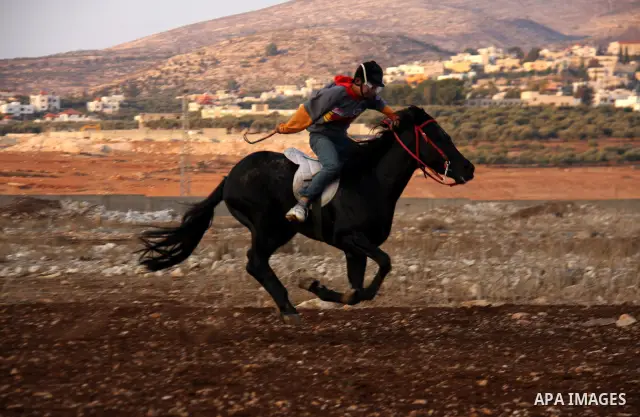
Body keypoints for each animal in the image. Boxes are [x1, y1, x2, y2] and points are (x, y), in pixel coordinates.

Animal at [136, 105, 475, 323]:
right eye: (440, 136)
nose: (469, 169)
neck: (371, 180)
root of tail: (229, 177)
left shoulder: (355, 249)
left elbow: (358, 290)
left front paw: (318, 287)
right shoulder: (350, 238)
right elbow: (384, 264)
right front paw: (310, 284)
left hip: (276, 230)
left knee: (257, 263)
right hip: (270, 228)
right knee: (255, 262)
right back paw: (288, 309)